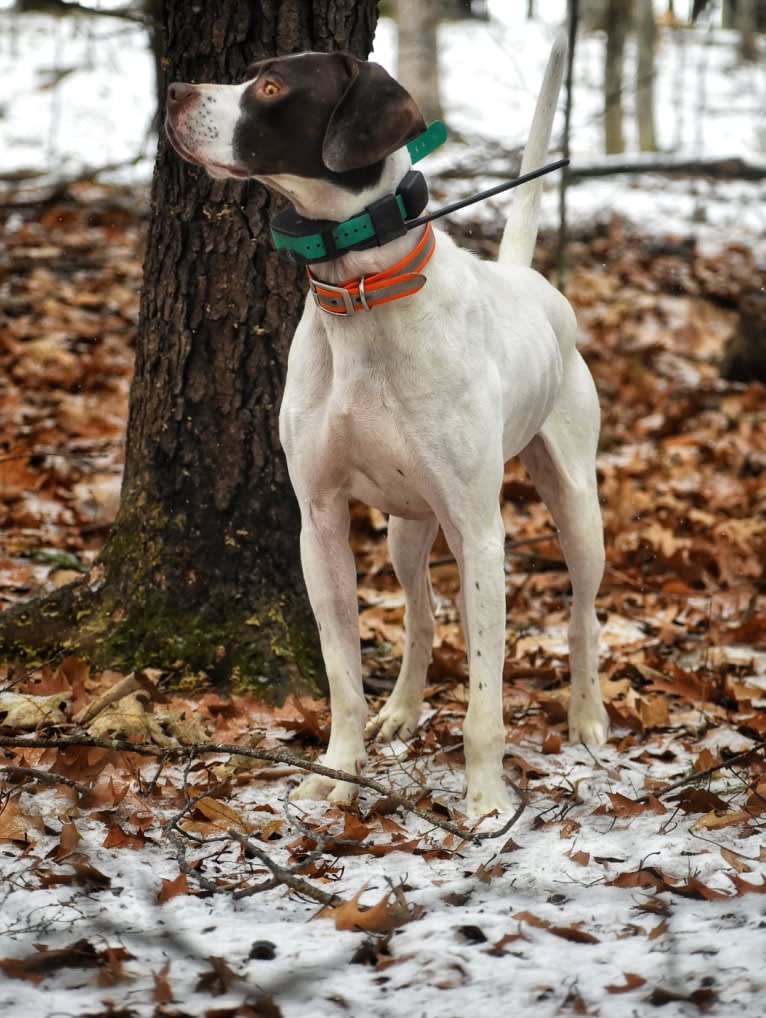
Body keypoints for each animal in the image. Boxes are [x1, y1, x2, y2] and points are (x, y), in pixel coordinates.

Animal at [165, 31, 607, 814]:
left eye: (272, 88)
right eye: (248, 74)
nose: (173, 92)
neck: (362, 292)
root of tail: (529, 280)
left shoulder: (481, 532)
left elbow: (485, 702)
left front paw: (486, 804)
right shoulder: (318, 521)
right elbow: (342, 674)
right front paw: (338, 772)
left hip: (576, 509)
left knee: (581, 614)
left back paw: (586, 717)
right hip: (408, 529)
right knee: (420, 615)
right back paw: (402, 710)